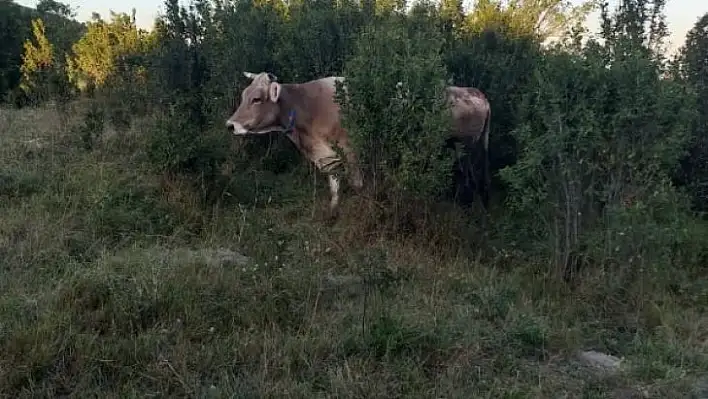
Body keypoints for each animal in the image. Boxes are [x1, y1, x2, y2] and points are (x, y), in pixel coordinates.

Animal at [227, 72, 492, 216]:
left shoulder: (351, 149)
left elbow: (357, 185)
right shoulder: (329, 156)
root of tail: (475, 92)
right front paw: (333, 212)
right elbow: (334, 184)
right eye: (243, 95)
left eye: (257, 99)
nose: (230, 125)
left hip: (466, 149)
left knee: (470, 180)